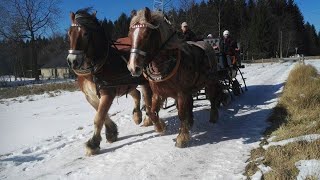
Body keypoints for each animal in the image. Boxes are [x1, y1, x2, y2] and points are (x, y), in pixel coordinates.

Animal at [66, 7, 154, 155]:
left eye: (85, 33)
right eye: (69, 33)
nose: (73, 61)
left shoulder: (108, 93)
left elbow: (99, 117)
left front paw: (93, 144)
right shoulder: (90, 96)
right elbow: (102, 114)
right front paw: (111, 132)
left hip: (143, 81)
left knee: (147, 96)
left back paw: (148, 118)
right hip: (126, 84)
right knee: (136, 93)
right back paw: (137, 115)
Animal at [127, 7, 222, 148]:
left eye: (147, 34)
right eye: (130, 36)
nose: (133, 67)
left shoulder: (181, 93)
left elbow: (181, 114)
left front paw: (182, 138)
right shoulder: (158, 93)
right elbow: (152, 112)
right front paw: (161, 127)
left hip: (211, 82)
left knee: (212, 98)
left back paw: (213, 117)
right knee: (191, 103)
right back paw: (191, 122)